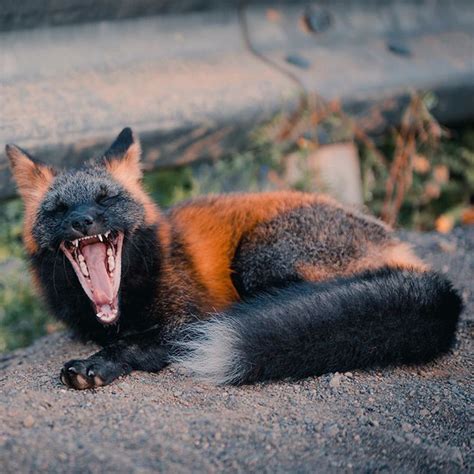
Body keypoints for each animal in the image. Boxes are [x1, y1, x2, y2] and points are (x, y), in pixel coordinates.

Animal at [4, 128, 462, 390]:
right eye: (58, 209)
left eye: (106, 199)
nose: (82, 221)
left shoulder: (188, 321)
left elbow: (134, 344)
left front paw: (98, 364)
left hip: (260, 257)